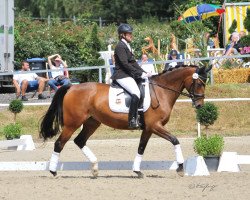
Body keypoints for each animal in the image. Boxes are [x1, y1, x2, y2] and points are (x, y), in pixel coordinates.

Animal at [40, 65, 212, 177]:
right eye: (199, 83)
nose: (199, 105)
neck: (161, 91)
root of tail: (72, 87)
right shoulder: (155, 126)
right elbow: (175, 140)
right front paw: (181, 167)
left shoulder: (148, 129)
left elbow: (141, 148)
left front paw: (137, 170)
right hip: (73, 123)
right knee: (59, 143)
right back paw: (54, 171)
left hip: (92, 122)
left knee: (79, 141)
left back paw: (95, 169)